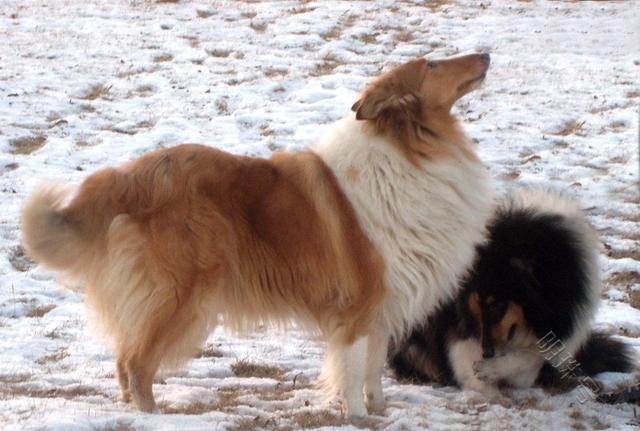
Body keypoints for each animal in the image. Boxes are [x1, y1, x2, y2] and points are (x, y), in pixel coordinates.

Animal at [18, 52, 490, 416]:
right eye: (431, 64)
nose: (485, 55)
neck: (409, 149)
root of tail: (130, 176)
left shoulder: (381, 306)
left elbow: (373, 368)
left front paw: (380, 410)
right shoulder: (357, 306)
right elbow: (354, 368)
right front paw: (357, 416)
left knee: (122, 360)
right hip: (182, 297)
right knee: (135, 362)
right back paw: (153, 415)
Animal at [388, 191, 632, 400]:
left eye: (498, 305)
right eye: (478, 304)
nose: (487, 352)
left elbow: (532, 357)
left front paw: (492, 370)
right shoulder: (458, 325)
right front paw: (488, 386)